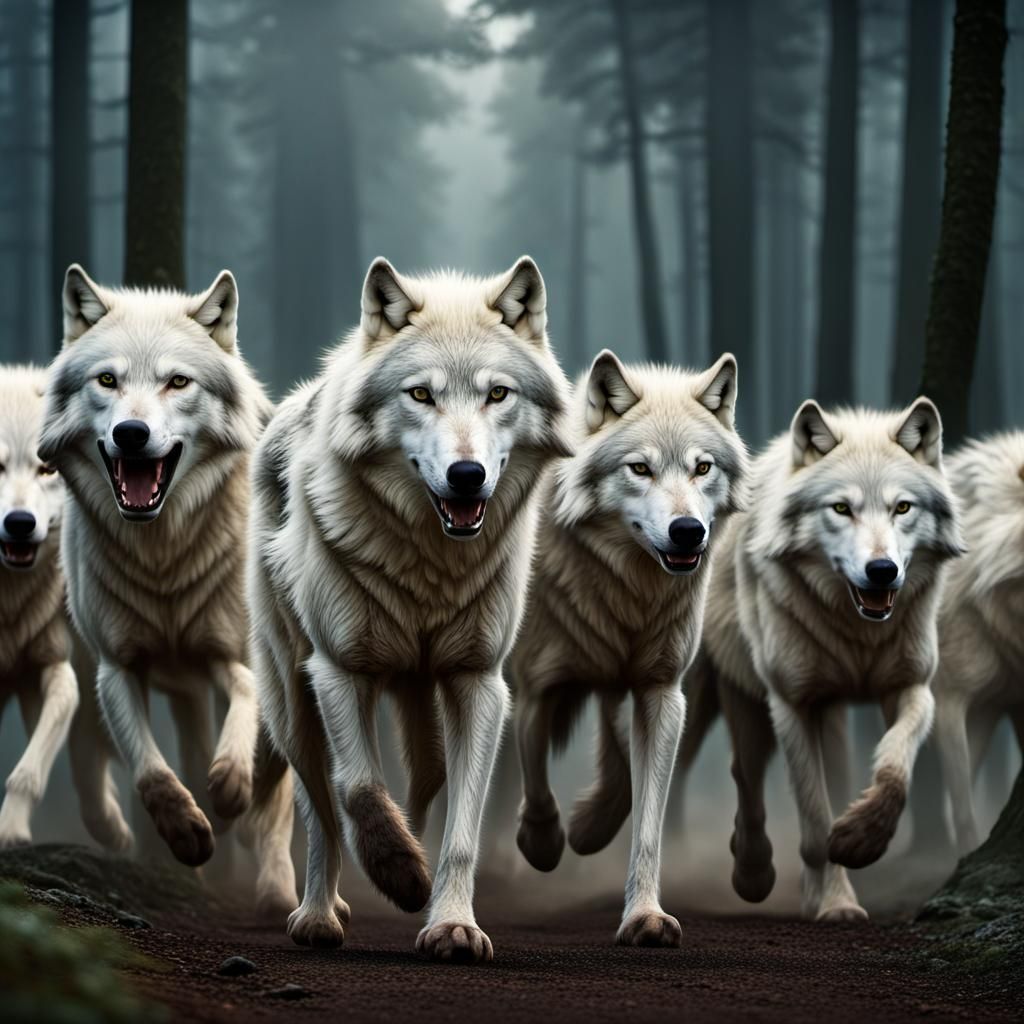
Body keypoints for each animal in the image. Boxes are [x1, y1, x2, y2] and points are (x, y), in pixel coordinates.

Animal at [39, 266, 295, 909]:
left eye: (178, 382)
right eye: (107, 380)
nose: (132, 433)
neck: (164, 558)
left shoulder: (234, 656)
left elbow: (244, 717)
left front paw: (229, 791)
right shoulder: (117, 667)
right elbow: (151, 771)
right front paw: (187, 833)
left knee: (279, 795)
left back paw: (276, 883)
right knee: (91, 747)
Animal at [249, 256, 572, 962]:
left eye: (497, 394)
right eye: (421, 395)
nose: (467, 475)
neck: (431, 564)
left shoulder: (479, 682)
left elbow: (463, 828)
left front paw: (451, 924)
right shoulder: (338, 671)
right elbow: (357, 788)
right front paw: (399, 874)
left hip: (421, 701)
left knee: (424, 785)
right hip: (291, 700)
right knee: (319, 808)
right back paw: (320, 913)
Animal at [511, 351, 747, 946]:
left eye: (702, 468)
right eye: (640, 469)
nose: (688, 531)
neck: (627, 592)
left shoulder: (660, 690)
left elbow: (644, 817)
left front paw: (643, 914)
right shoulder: (537, 686)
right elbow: (537, 777)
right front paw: (543, 842)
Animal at [684, 400, 962, 920]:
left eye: (902, 507)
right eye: (841, 508)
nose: (882, 571)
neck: (857, 636)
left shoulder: (913, 688)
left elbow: (894, 771)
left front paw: (858, 839)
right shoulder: (792, 703)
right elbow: (814, 823)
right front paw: (835, 903)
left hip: (828, 715)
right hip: (729, 696)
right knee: (744, 773)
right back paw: (752, 874)